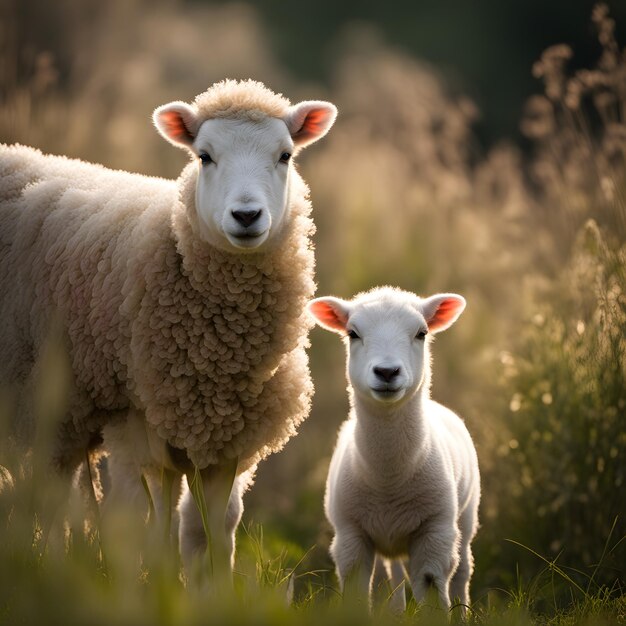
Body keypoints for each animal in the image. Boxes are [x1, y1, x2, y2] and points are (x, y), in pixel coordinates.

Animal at [0, 78, 336, 576]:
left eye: (285, 155)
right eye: (205, 156)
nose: (246, 216)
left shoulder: (224, 440)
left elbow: (208, 532)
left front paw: (201, 586)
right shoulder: (131, 425)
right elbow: (136, 527)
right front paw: (144, 584)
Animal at [308, 286, 478, 612]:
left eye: (422, 333)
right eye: (352, 333)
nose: (387, 372)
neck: (388, 477)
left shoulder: (436, 532)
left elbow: (432, 589)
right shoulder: (350, 535)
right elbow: (356, 592)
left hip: (465, 516)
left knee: (462, 570)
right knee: (396, 575)